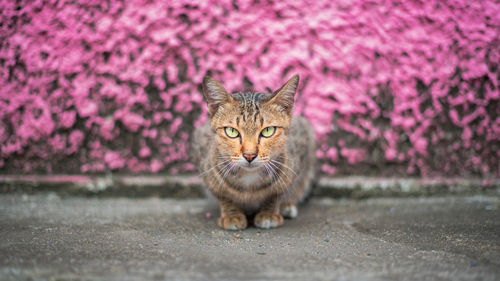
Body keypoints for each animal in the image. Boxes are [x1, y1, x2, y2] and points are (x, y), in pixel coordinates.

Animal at [191, 75, 316, 230]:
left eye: (268, 131)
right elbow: (223, 196)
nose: (249, 155)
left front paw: (269, 212)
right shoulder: (204, 162)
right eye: (231, 132)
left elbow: (277, 193)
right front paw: (231, 214)